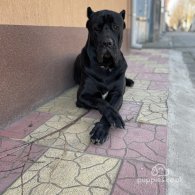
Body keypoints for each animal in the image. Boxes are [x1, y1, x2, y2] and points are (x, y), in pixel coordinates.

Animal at [73, 6, 134, 144]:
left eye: (115, 27)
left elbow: (112, 105)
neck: (106, 66)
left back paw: (129, 81)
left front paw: (101, 129)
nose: (107, 43)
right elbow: (102, 102)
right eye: (97, 27)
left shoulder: (117, 94)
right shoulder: (83, 95)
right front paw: (111, 119)